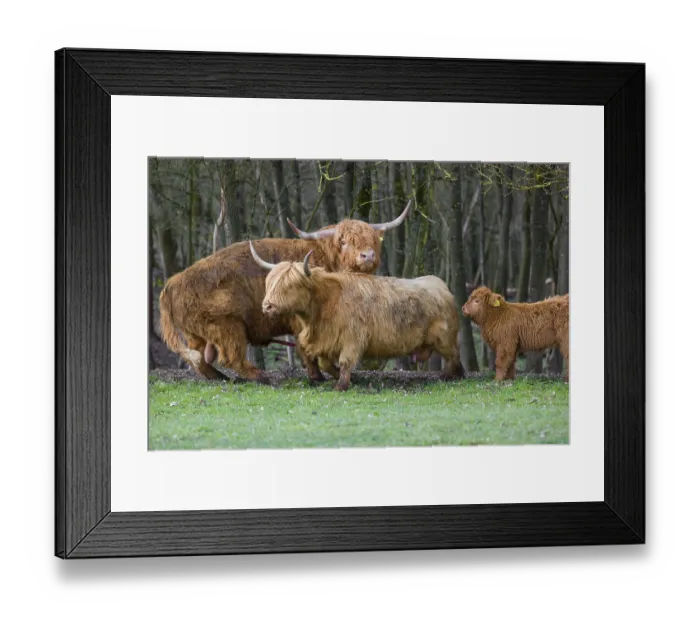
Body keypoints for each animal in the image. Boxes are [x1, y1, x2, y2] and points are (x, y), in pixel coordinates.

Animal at [158, 204, 411, 383]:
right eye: (343, 241)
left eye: (372, 239)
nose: (367, 255)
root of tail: (172, 283)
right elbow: (312, 351)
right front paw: (323, 375)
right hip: (226, 325)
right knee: (230, 356)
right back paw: (260, 376)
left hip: (198, 333)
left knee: (200, 360)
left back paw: (220, 377)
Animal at [250, 243, 465, 391]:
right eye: (270, 283)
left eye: (290, 285)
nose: (267, 306)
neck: (325, 303)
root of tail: (441, 285)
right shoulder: (327, 340)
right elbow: (325, 363)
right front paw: (344, 377)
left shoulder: (352, 338)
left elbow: (345, 361)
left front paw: (341, 385)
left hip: (443, 338)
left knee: (453, 354)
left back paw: (450, 376)